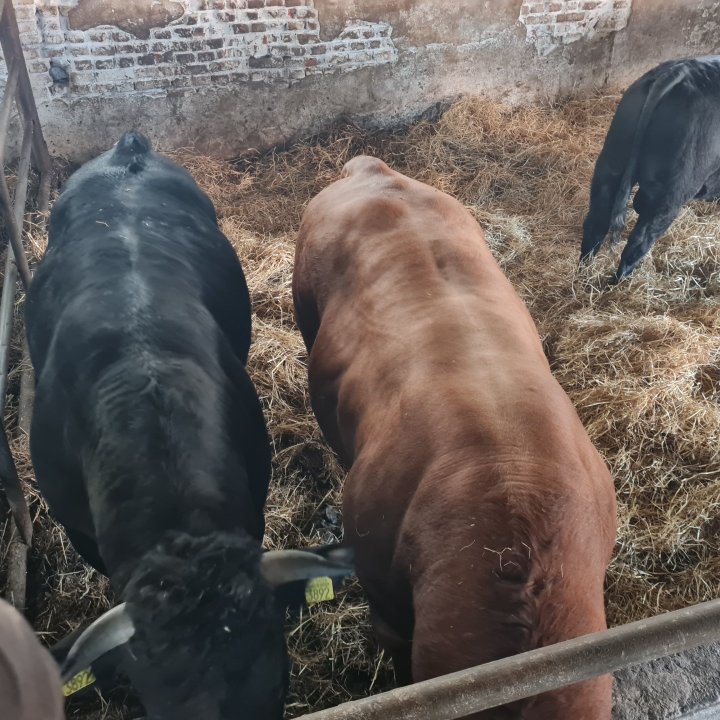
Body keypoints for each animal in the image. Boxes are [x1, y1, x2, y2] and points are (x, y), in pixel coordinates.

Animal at [580, 56, 720, 282]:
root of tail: (680, 71)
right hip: (670, 194)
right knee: (638, 243)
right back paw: (620, 284)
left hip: (610, 163)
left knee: (596, 224)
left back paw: (583, 277)